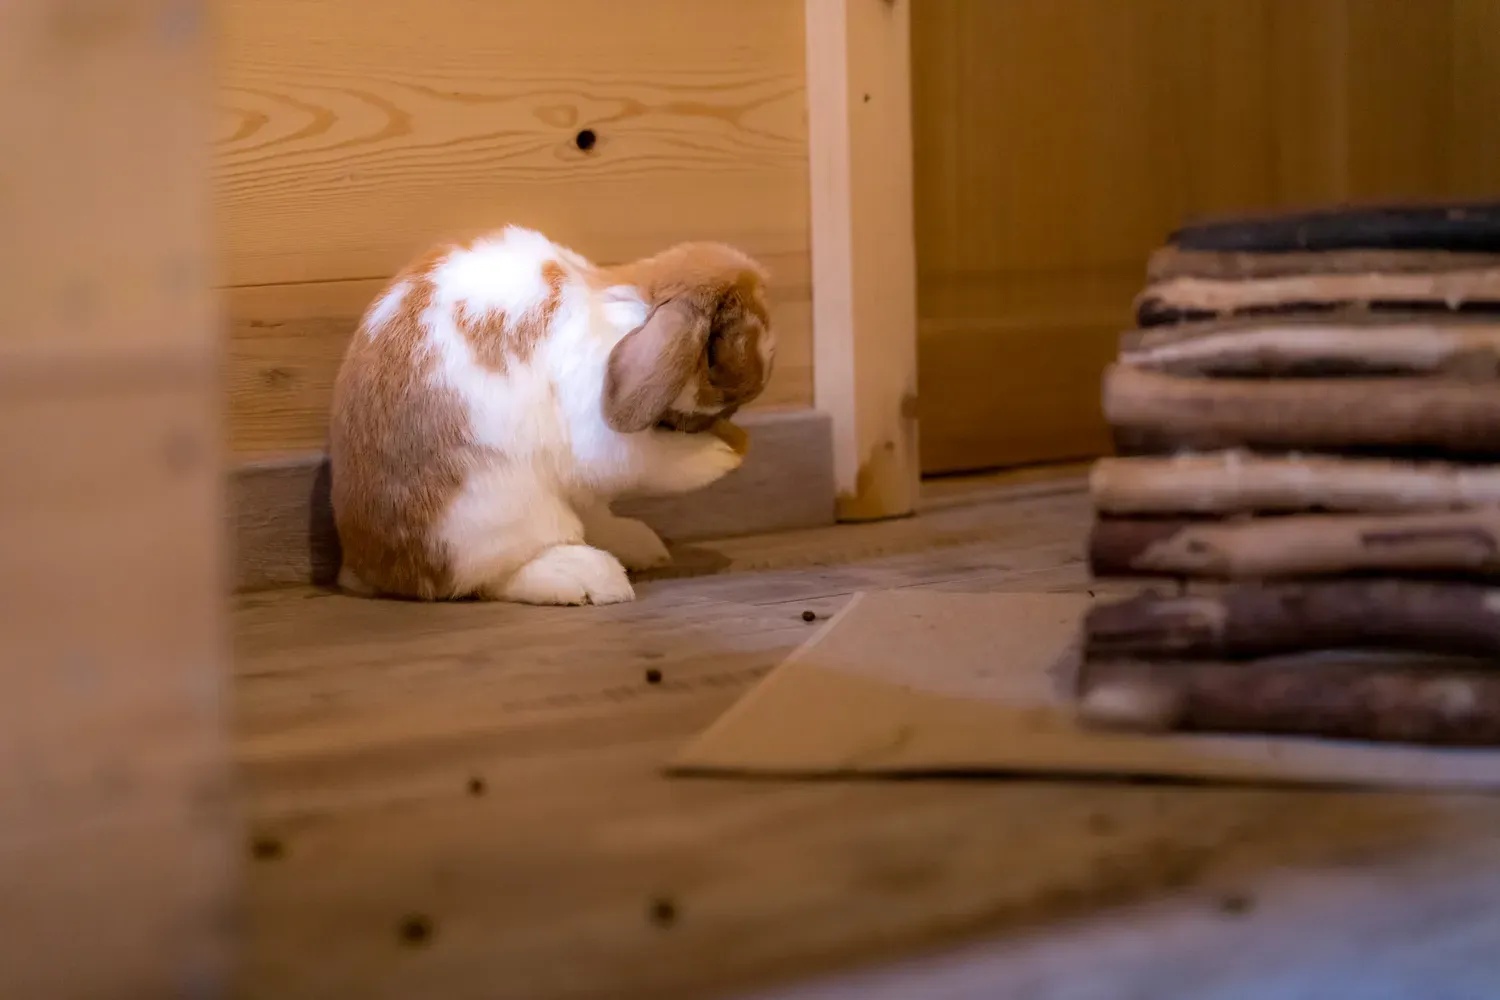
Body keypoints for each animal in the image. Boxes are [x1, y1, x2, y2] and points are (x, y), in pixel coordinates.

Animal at [328, 225, 774, 605]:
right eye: (723, 342)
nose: (754, 386)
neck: (632, 309)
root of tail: (369, 566)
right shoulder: (604, 437)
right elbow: (661, 463)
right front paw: (723, 453)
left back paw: (640, 545)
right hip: (500, 511)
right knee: (495, 576)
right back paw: (590, 577)